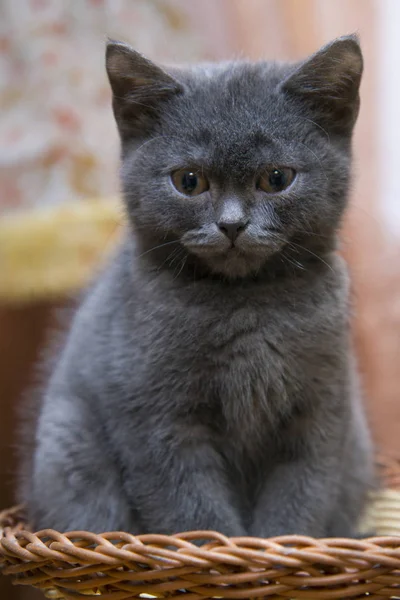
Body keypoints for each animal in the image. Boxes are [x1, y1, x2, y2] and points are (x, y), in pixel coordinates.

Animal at [23, 35, 376, 536]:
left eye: (276, 178)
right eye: (189, 181)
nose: (232, 225)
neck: (247, 302)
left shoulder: (321, 411)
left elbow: (300, 500)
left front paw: (279, 548)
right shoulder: (156, 419)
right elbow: (191, 509)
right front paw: (222, 551)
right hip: (68, 443)